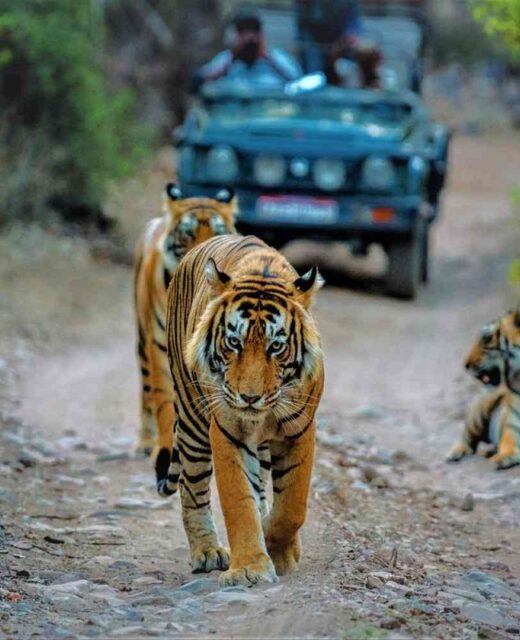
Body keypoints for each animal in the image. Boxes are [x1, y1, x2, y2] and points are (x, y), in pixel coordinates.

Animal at [134, 183, 237, 456]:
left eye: (218, 232)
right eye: (188, 234)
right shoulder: (159, 345)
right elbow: (164, 402)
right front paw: (164, 447)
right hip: (142, 341)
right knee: (146, 391)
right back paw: (145, 442)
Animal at [158, 234, 324, 587]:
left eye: (276, 346)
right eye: (234, 342)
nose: (249, 398)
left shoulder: (301, 429)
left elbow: (293, 505)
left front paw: (280, 548)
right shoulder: (228, 431)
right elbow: (239, 502)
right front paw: (250, 567)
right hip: (192, 420)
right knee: (192, 489)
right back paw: (207, 553)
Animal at [447, 308, 520, 469]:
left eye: (486, 338)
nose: (466, 365)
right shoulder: (513, 421)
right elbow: (510, 438)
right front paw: (504, 456)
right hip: (479, 411)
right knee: (467, 438)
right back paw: (454, 453)